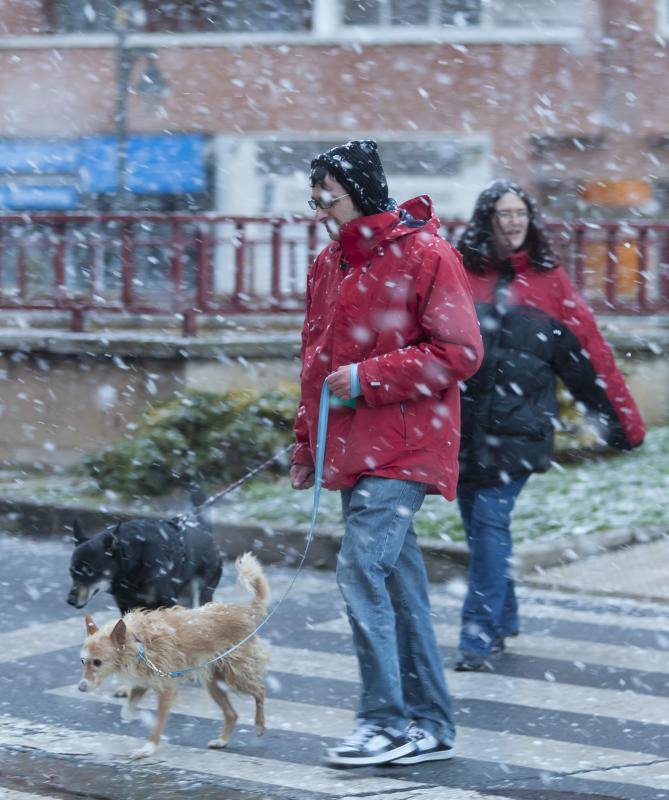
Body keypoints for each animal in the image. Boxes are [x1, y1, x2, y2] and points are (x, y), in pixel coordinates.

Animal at [69, 488, 223, 612]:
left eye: (90, 571)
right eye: (71, 571)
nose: (70, 601)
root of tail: (205, 531)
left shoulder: (166, 602)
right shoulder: (127, 606)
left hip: (201, 593)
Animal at [80, 552, 272, 760]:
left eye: (98, 662)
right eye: (83, 661)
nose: (81, 688)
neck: (138, 642)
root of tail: (246, 612)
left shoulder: (167, 689)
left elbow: (157, 723)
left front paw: (148, 748)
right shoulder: (142, 683)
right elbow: (127, 711)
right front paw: (138, 716)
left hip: (235, 675)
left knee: (259, 690)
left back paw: (259, 724)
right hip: (214, 681)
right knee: (232, 714)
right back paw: (222, 740)